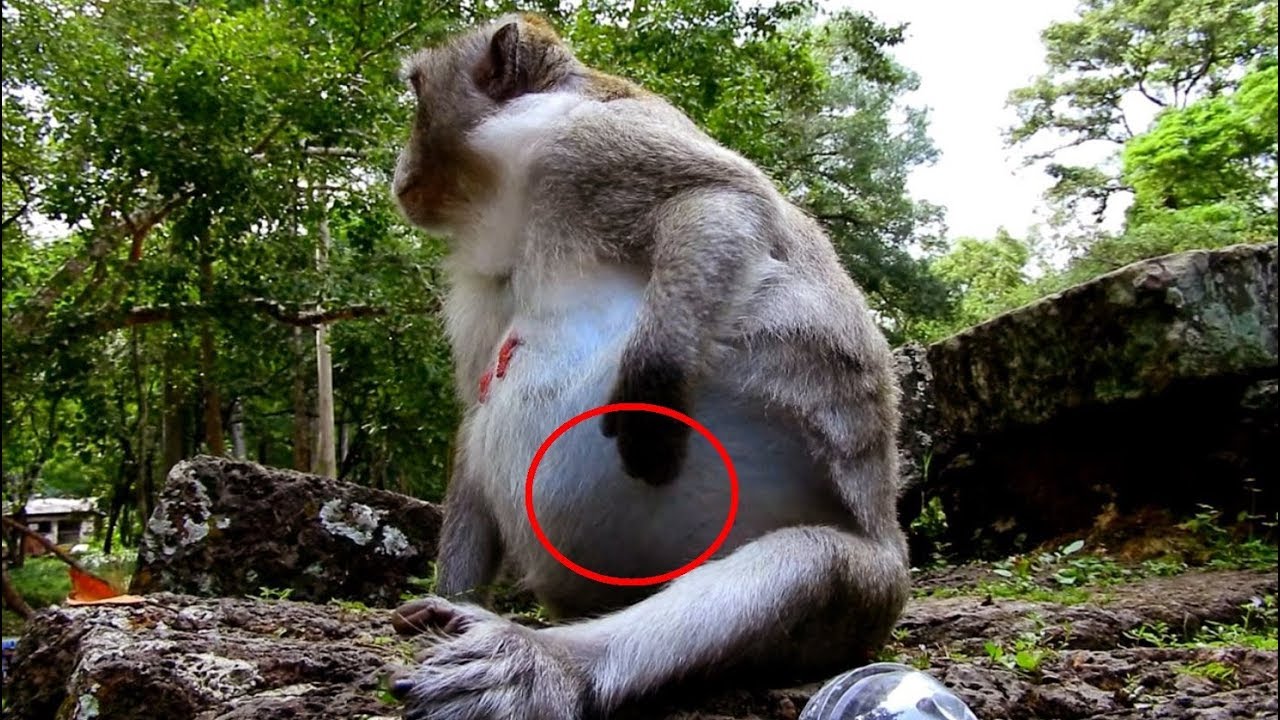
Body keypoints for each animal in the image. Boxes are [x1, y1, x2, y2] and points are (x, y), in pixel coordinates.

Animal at [389, 12, 910, 720]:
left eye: (416, 95)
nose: (398, 169)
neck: (518, 206)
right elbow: (475, 415)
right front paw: (453, 595)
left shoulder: (591, 143)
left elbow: (720, 199)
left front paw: (650, 387)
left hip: (871, 593)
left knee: (812, 565)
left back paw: (549, 665)